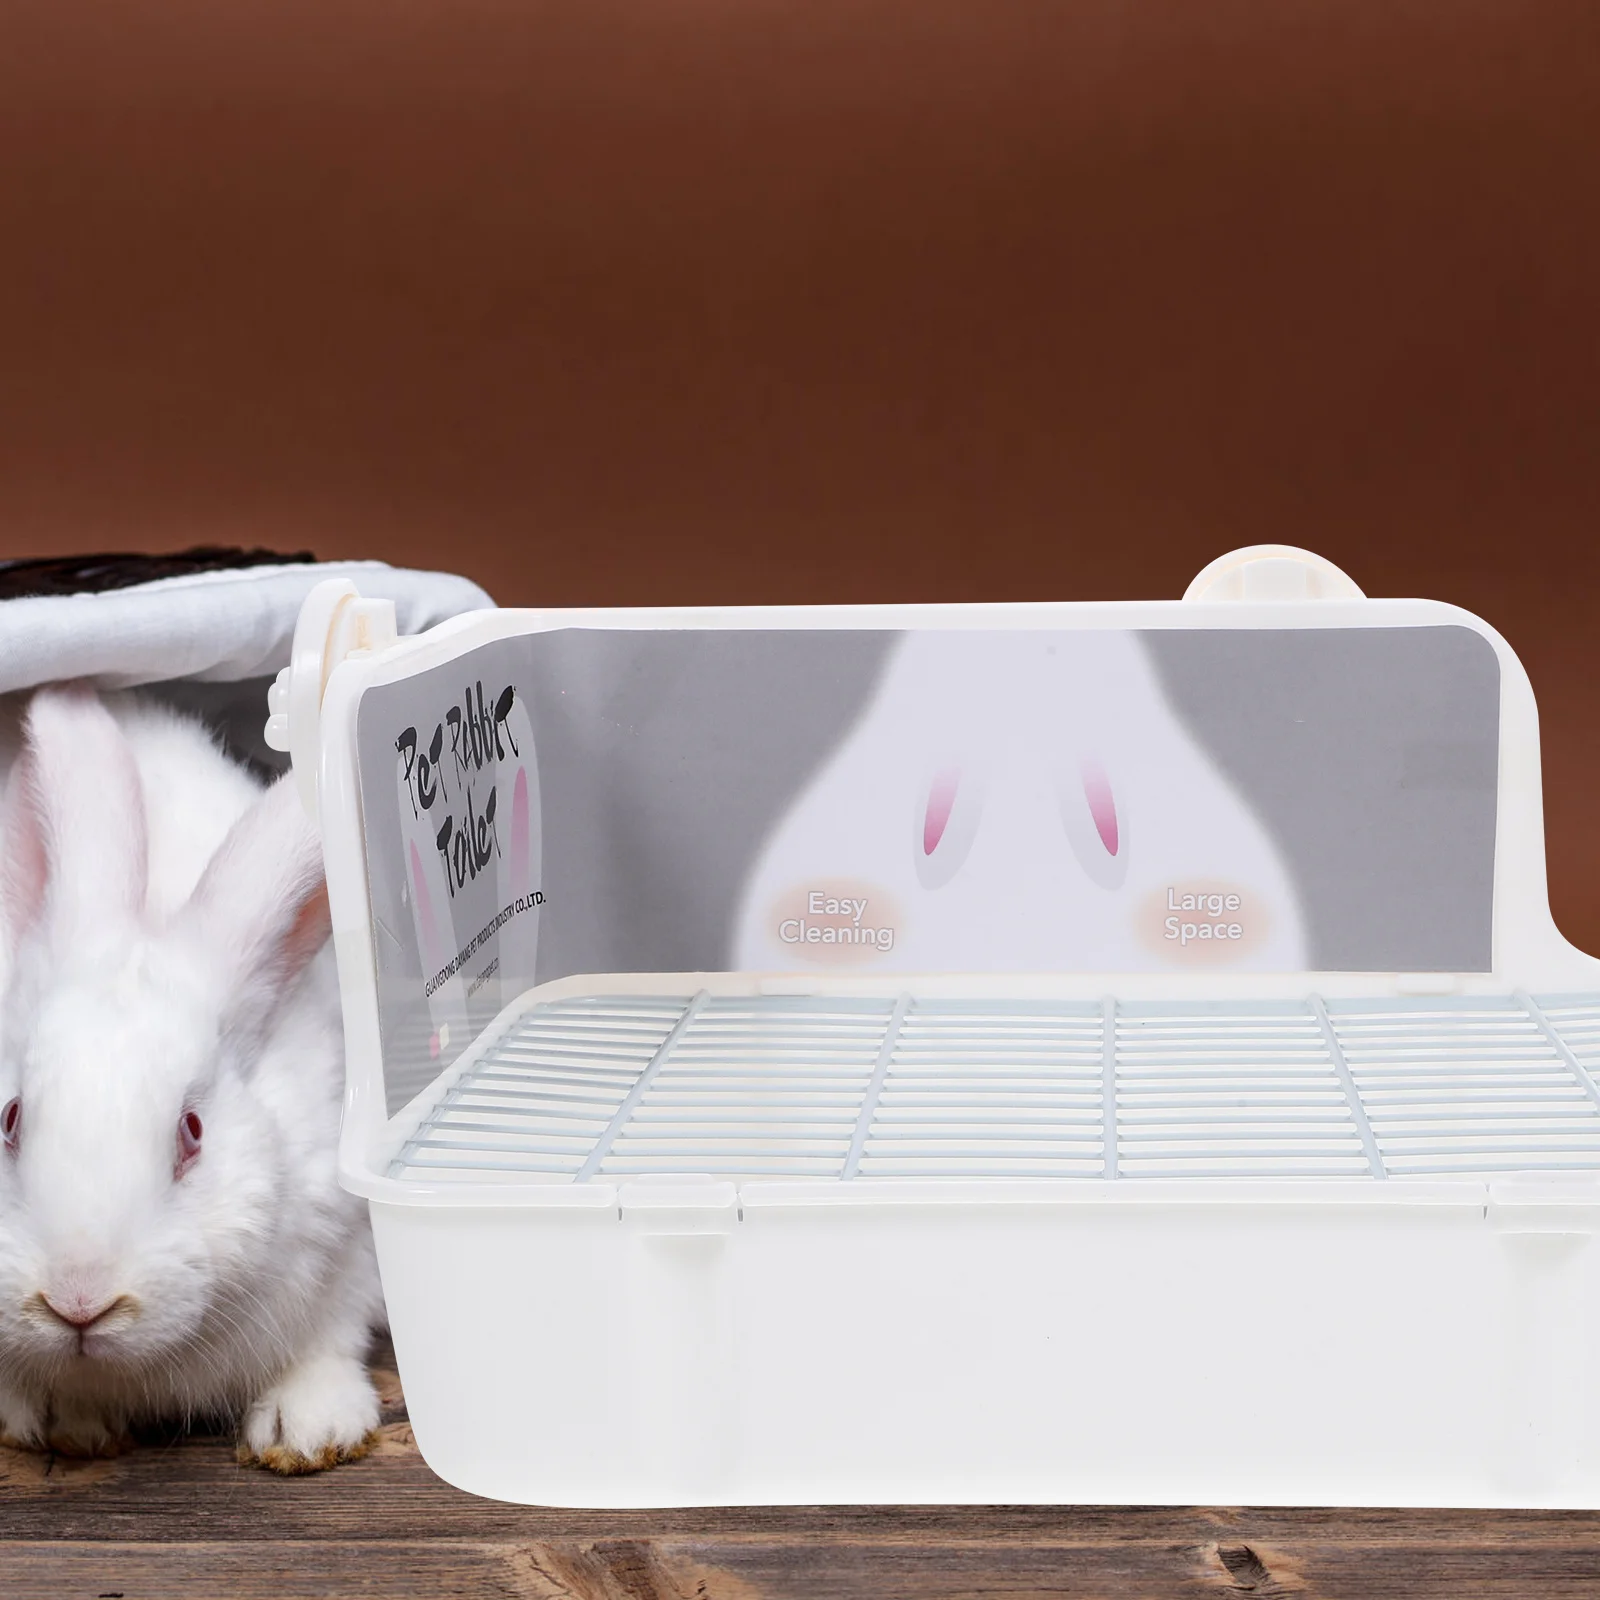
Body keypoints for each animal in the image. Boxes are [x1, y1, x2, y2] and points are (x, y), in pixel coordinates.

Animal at [0, 686, 384, 1472]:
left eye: (193, 1130)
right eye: (10, 1119)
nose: (77, 1301)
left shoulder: (344, 1247)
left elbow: (331, 1342)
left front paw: (312, 1428)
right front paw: (56, 1417)